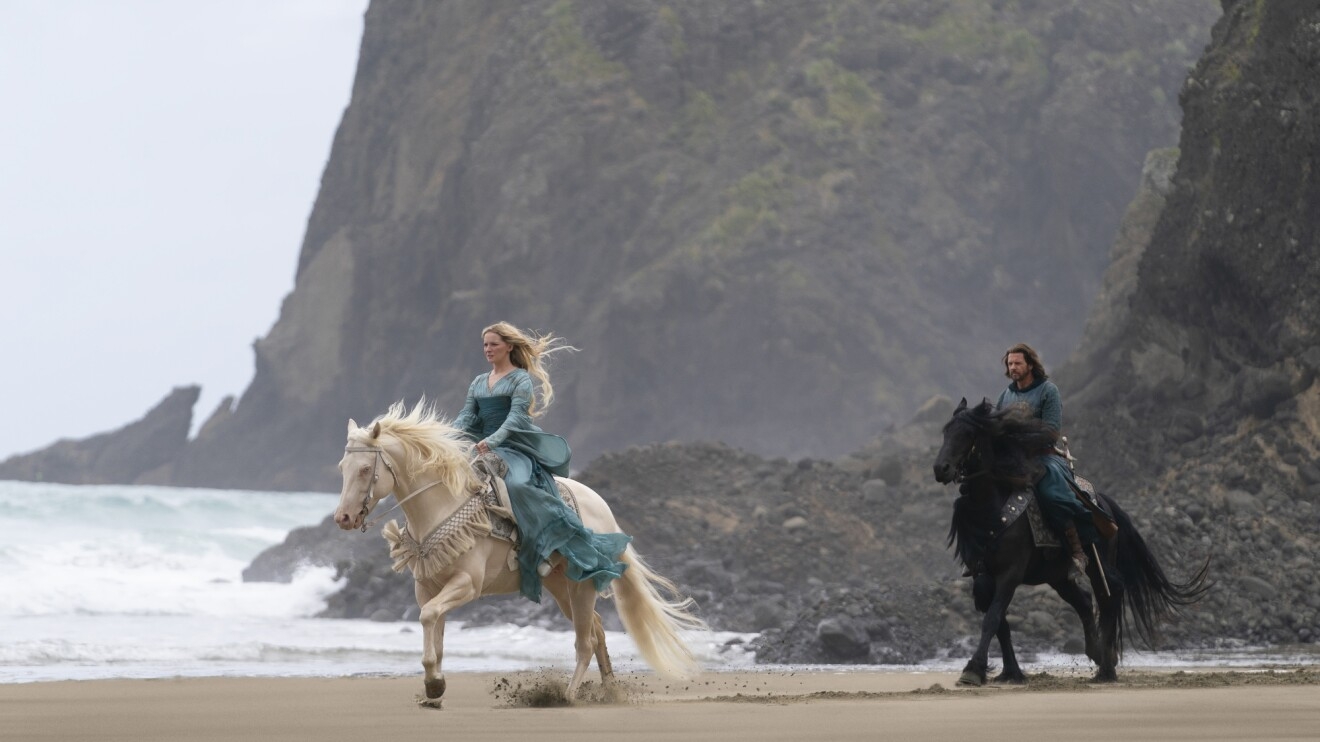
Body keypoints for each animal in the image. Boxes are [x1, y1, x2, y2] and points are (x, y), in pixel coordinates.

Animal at [335, 401, 707, 697]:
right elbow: (434, 632)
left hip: (582, 584)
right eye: (342, 468)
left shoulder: (467, 584)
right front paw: (434, 687)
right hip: (560, 586)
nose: (343, 517)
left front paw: (434, 685)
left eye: (366, 469)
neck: (441, 506)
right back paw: (609, 690)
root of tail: (604, 509)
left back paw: (568, 696)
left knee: (585, 641)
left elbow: (428, 618)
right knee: (597, 630)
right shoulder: (427, 586)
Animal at [929, 398, 1209, 681]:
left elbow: (993, 618)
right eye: (945, 432)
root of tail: (1104, 502)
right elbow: (1001, 624)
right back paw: (1098, 654)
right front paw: (1010, 671)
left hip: (1096, 564)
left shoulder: (1011, 573)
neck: (992, 510)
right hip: (1057, 575)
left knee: (1111, 591)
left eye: (967, 434)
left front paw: (973, 670)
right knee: (1085, 601)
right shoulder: (982, 574)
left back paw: (1106, 668)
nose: (941, 469)